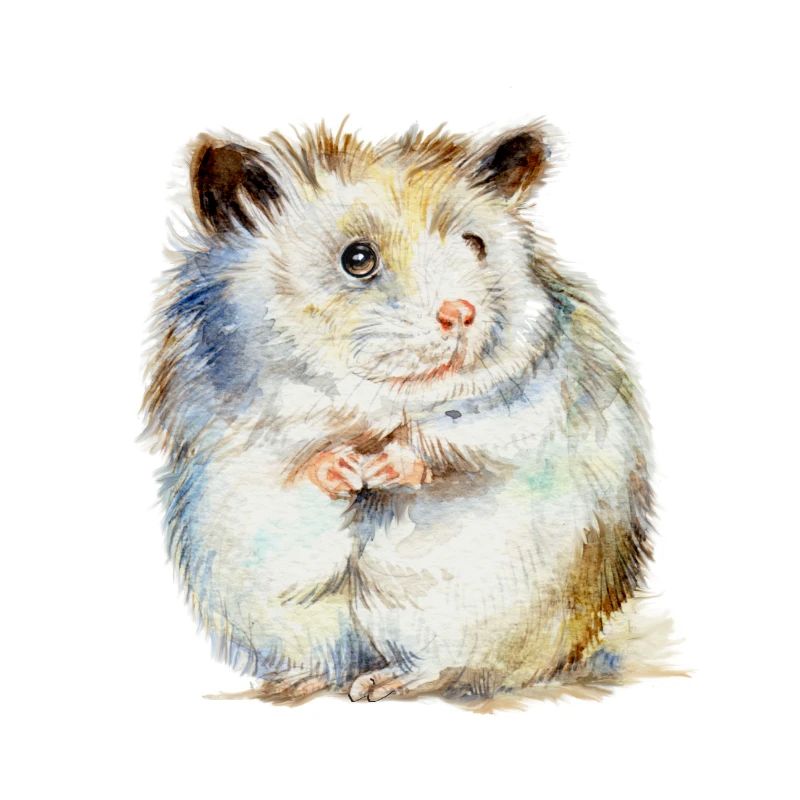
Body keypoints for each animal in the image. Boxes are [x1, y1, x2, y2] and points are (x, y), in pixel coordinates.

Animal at [143, 121, 654, 702]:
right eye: (357, 259)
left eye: (474, 244)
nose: (461, 313)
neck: (378, 398)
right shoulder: (233, 417)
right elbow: (290, 456)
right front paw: (345, 471)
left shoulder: (528, 400)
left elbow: (463, 436)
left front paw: (383, 468)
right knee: (331, 658)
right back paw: (296, 682)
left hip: (465, 608)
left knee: (448, 666)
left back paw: (378, 684)